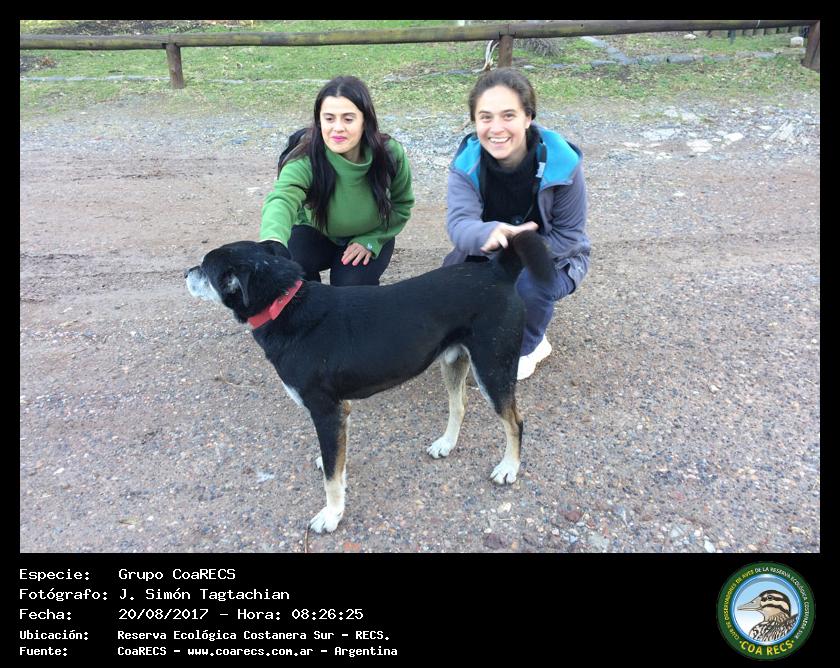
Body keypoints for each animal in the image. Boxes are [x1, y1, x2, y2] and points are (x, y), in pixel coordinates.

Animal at [185, 232, 553, 533]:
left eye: (204, 268)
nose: (186, 272)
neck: (283, 304)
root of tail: (496, 271)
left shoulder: (326, 411)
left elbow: (332, 479)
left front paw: (331, 515)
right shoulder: (340, 413)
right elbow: (335, 463)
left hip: (493, 367)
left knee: (515, 421)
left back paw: (508, 468)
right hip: (454, 359)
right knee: (459, 404)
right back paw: (446, 444)